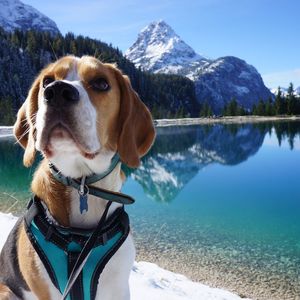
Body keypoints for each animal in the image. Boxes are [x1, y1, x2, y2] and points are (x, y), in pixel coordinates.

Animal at [0, 55, 156, 298]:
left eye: (101, 83)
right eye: (47, 81)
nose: (56, 91)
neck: (82, 182)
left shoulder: (119, 289)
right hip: (6, 291)